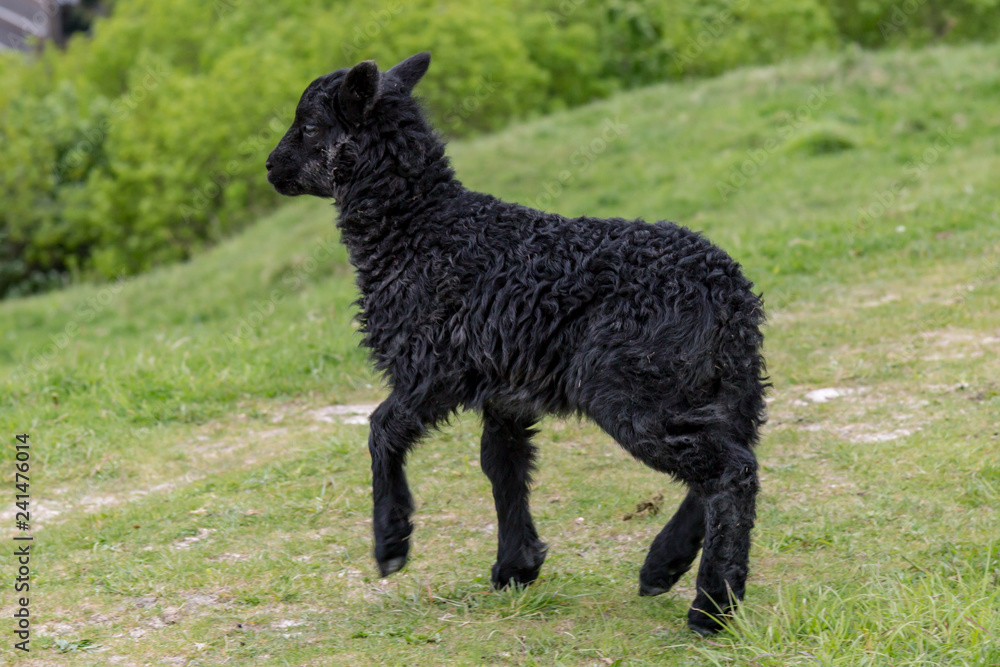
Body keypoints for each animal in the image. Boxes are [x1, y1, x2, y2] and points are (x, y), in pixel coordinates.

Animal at [266, 52, 764, 636]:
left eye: (309, 126)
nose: (270, 167)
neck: (418, 229)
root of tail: (730, 295)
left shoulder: (433, 366)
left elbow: (381, 430)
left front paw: (392, 542)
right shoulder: (503, 390)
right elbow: (501, 466)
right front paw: (515, 566)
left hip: (630, 382)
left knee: (729, 471)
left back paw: (711, 607)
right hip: (716, 387)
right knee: (725, 461)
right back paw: (663, 566)